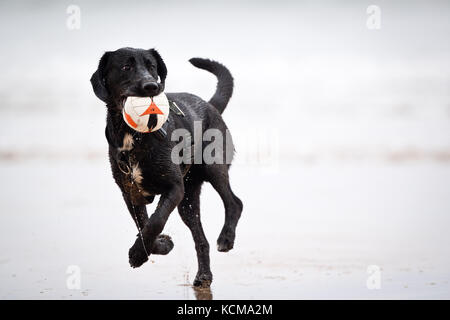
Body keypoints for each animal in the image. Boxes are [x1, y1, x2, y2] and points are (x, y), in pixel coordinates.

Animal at [90, 48, 243, 288]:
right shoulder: (130, 193)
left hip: (213, 167)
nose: (151, 86)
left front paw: (137, 254)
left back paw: (226, 238)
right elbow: (143, 225)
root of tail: (210, 105)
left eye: (152, 66)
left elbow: (156, 221)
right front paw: (161, 246)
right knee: (201, 239)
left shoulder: (174, 188)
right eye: (126, 67)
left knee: (235, 203)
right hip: (188, 201)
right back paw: (204, 275)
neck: (135, 137)